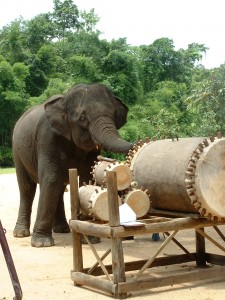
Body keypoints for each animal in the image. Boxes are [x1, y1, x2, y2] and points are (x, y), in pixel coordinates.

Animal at [12, 83, 133, 247]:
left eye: (113, 114)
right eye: (83, 118)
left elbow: (86, 179)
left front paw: (90, 239)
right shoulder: (46, 139)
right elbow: (50, 179)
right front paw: (42, 243)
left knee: (58, 188)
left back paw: (62, 230)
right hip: (17, 152)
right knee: (27, 188)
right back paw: (20, 234)